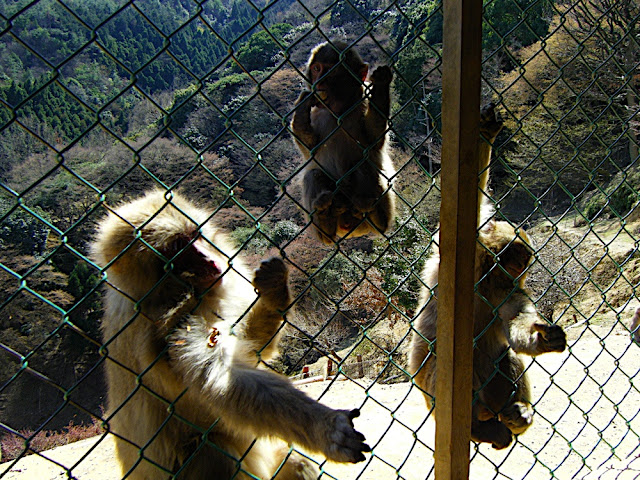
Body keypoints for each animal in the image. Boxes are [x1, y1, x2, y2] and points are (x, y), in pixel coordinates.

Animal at [91, 190, 371, 479]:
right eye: (179, 247)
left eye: (194, 235)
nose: (209, 259)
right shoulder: (168, 327)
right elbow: (221, 381)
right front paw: (327, 428)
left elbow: (253, 350)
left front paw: (274, 291)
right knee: (210, 453)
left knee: (293, 460)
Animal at [291, 40, 396, 244]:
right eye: (316, 68)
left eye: (330, 70)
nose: (319, 82)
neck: (339, 111)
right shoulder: (318, 112)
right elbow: (310, 148)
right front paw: (301, 107)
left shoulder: (362, 103)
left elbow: (373, 140)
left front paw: (380, 86)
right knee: (313, 175)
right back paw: (325, 223)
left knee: (364, 165)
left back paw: (375, 216)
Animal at [409, 105, 567, 450]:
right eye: (515, 260)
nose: (520, 270)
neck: (483, 282)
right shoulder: (459, 260)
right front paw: (483, 134)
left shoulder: (505, 291)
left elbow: (515, 320)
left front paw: (540, 339)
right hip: (434, 400)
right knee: (444, 363)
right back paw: (476, 427)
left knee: (504, 357)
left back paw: (516, 416)